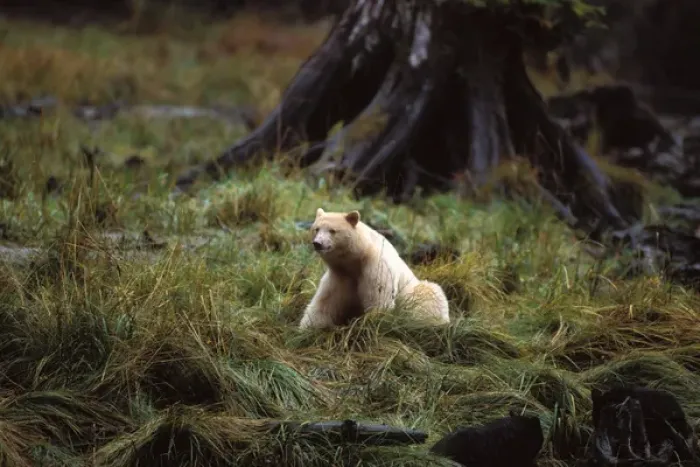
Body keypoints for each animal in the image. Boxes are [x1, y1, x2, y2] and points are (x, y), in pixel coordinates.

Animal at [299, 208, 450, 329]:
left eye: (332, 231)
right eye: (316, 229)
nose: (318, 243)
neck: (355, 261)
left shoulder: (376, 267)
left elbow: (378, 297)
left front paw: (368, 323)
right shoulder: (341, 276)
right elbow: (325, 301)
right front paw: (306, 329)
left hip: (416, 292)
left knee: (428, 296)